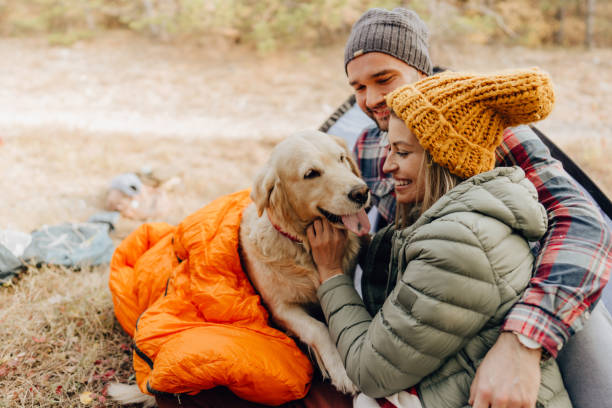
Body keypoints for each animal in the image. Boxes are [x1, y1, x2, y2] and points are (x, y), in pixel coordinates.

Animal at [107, 131, 370, 404]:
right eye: (311, 173)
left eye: (341, 158)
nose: (361, 192)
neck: (301, 245)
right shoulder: (280, 308)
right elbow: (319, 329)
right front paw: (340, 369)